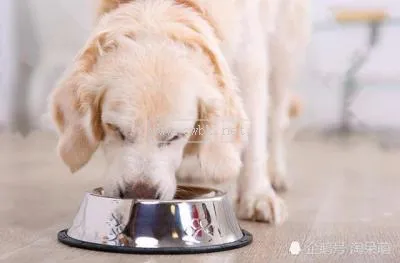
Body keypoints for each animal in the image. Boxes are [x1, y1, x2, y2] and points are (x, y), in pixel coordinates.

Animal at [49, 0, 310, 225]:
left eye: (176, 136)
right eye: (116, 130)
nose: (140, 193)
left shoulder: (250, 60)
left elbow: (255, 139)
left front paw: (257, 196)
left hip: (285, 48)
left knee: (278, 117)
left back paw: (276, 173)